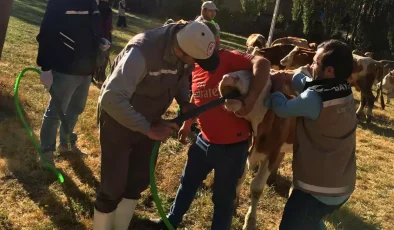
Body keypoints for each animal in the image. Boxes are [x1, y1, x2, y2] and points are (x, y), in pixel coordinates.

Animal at [217, 68, 306, 230]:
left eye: (261, 79)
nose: (228, 77)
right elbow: (239, 178)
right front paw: (233, 205)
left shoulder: (272, 153)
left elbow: (257, 188)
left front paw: (250, 222)